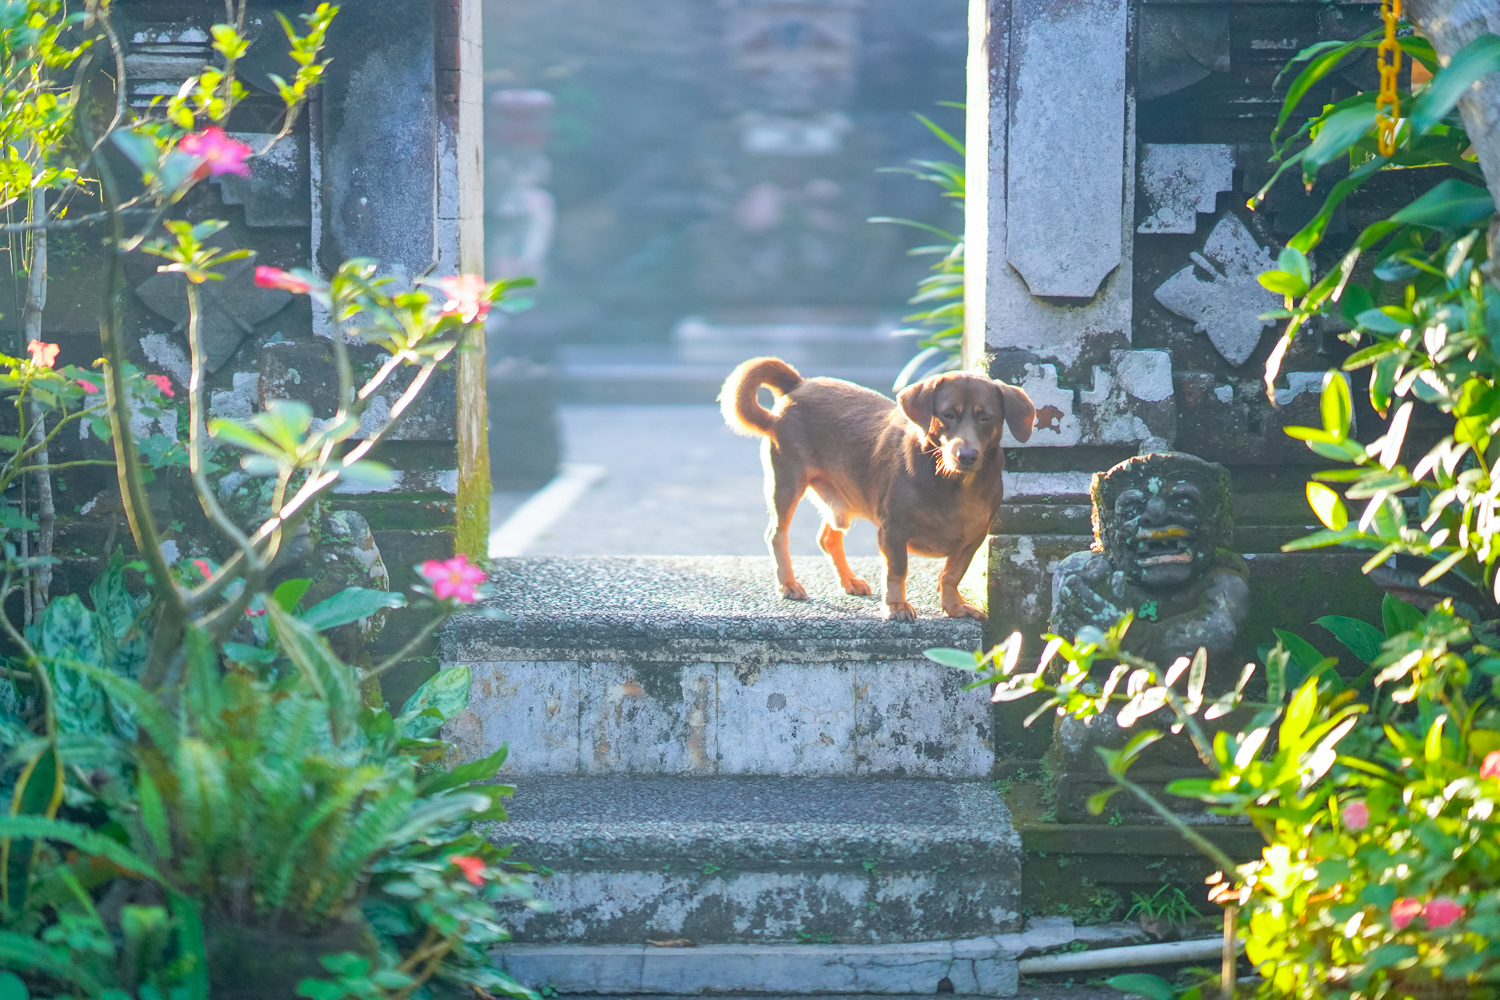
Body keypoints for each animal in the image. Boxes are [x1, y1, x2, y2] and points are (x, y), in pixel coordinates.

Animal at [723, 355, 1032, 620]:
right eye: (947, 415)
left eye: (986, 417)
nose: (966, 456)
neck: (952, 484)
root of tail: (799, 383)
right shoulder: (892, 531)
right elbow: (897, 571)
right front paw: (896, 606)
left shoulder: (973, 538)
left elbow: (951, 575)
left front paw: (954, 606)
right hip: (786, 484)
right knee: (777, 535)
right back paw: (788, 583)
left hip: (841, 501)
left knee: (828, 538)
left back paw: (848, 580)